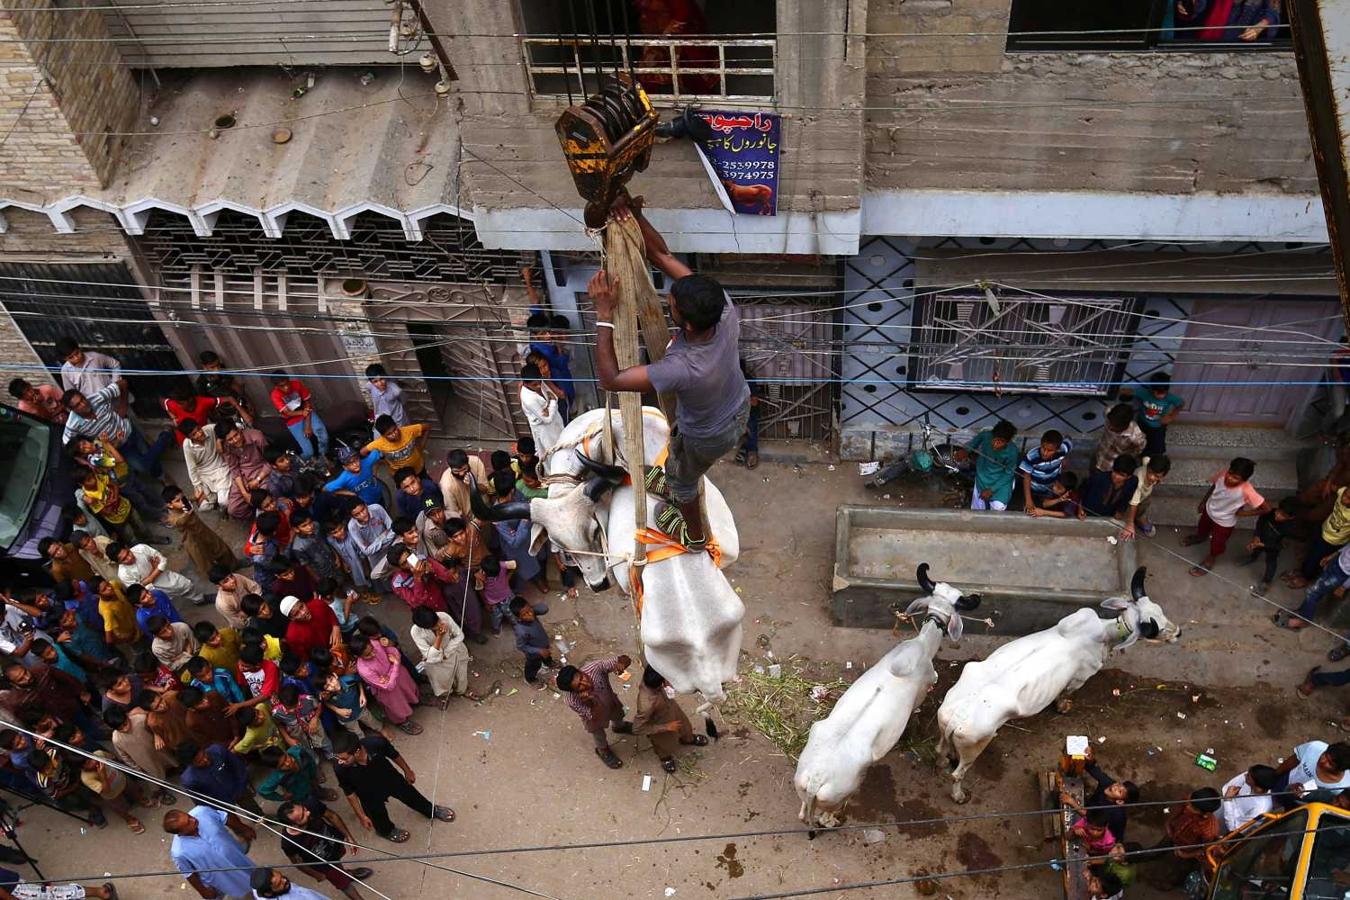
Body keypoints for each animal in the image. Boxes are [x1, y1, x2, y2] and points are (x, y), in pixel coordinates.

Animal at [788, 564, 982, 831]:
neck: (922, 646)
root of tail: (817, 778)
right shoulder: (922, 691)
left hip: (802, 786)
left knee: (802, 812)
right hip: (840, 795)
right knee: (825, 817)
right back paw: (835, 820)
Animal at [934, 569, 1177, 804]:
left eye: (1159, 610)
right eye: (1156, 628)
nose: (1178, 632)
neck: (1103, 634)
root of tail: (956, 717)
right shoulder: (1079, 679)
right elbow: (1065, 694)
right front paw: (1063, 707)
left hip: (944, 725)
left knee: (940, 750)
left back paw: (945, 760)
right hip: (975, 745)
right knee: (957, 775)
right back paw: (959, 796)